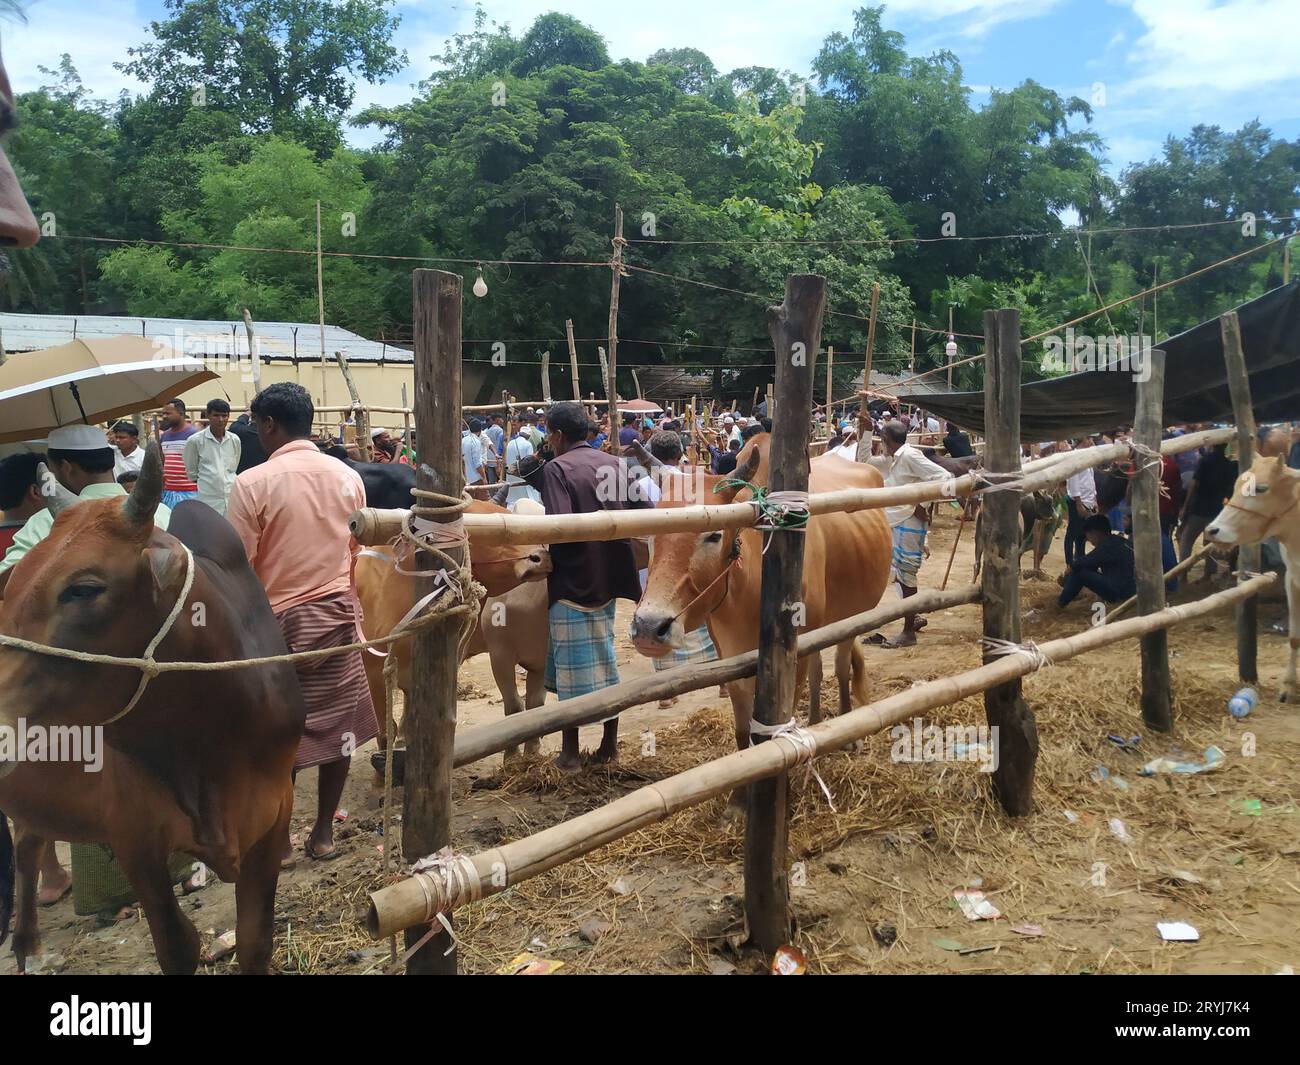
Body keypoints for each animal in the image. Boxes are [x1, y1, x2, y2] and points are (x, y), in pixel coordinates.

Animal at [0, 447, 301, 972]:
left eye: (83, 588)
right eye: (13, 584)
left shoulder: (272, 818)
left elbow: (255, 939)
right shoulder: (135, 840)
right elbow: (178, 945)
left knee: (30, 839)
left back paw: (30, 945)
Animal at [629, 436, 894, 780]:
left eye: (714, 535)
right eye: (650, 533)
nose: (649, 627)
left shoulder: (793, 655)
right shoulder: (729, 655)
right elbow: (743, 733)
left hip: (850, 618)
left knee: (840, 665)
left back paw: (849, 731)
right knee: (820, 671)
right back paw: (816, 721)